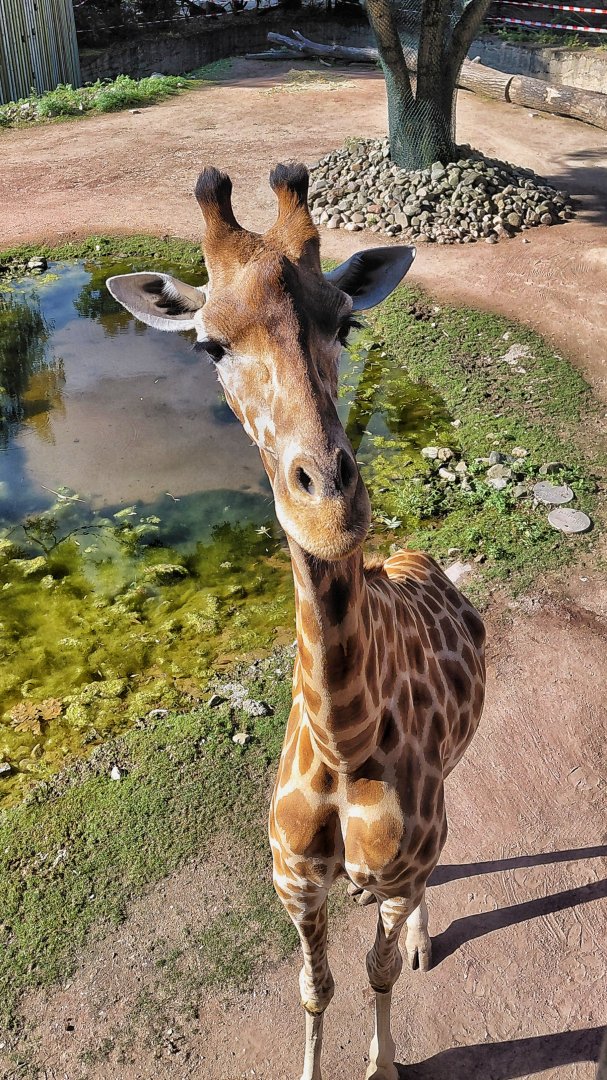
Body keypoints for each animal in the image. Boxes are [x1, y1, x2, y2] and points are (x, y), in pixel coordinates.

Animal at [107, 162, 486, 1080]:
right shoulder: (292, 883)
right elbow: (315, 988)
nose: (331, 512)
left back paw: (424, 940)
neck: (345, 741)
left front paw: (384, 1060)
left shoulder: (396, 866)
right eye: (207, 345)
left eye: (345, 322)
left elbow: (378, 968)